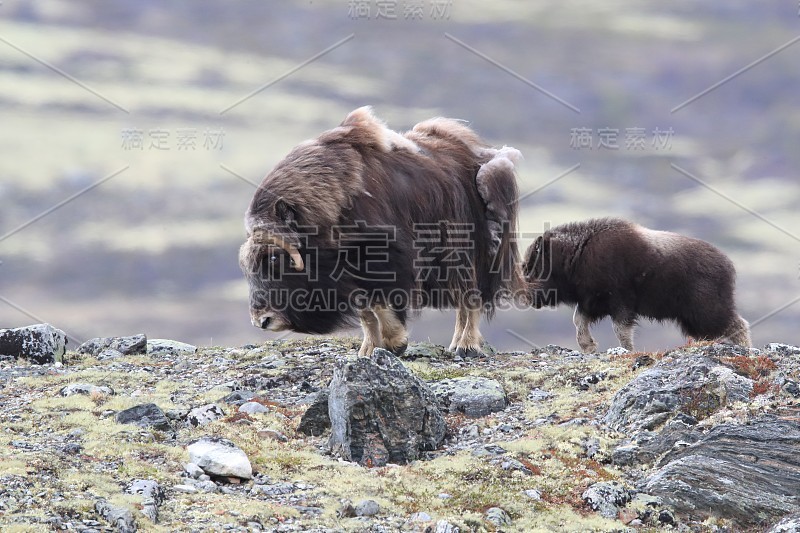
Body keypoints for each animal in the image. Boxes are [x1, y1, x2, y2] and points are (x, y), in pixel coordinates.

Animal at [238, 105, 524, 356]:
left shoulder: (382, 261)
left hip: (465, 253)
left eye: (275, 258)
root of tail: (482, 156)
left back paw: (466, 347)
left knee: (470, 297)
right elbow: (365, 312)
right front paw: (369, 349)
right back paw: (455, 344)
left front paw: (395, 343)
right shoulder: (349, 275)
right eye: (246, 265)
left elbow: (378, 302)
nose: (262, 321)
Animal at [520, 216, 752, 354]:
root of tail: (728, 265)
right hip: (692, 319)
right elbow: (579, 321)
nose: (528, 299)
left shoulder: (619, 302)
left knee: (738, 324)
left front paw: (627, 351)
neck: (578, 254)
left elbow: (620, 329)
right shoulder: (591, 301)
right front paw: (589, 346)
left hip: (707, 311)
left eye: (533, 267)